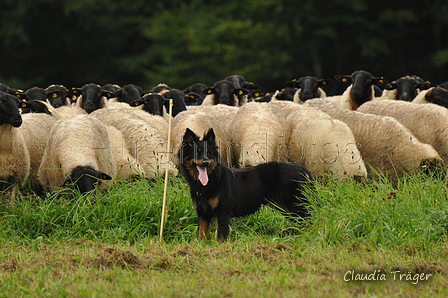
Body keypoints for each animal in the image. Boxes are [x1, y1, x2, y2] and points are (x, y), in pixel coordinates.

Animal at [177, 127, 314, 241]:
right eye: (197, 152)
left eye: (209, 153)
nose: (205, 162)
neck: (211, 180)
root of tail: (302, 169)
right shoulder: (203, 214)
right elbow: (201, 236)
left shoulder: (222, 213)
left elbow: (220, 238)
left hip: (295, 205)